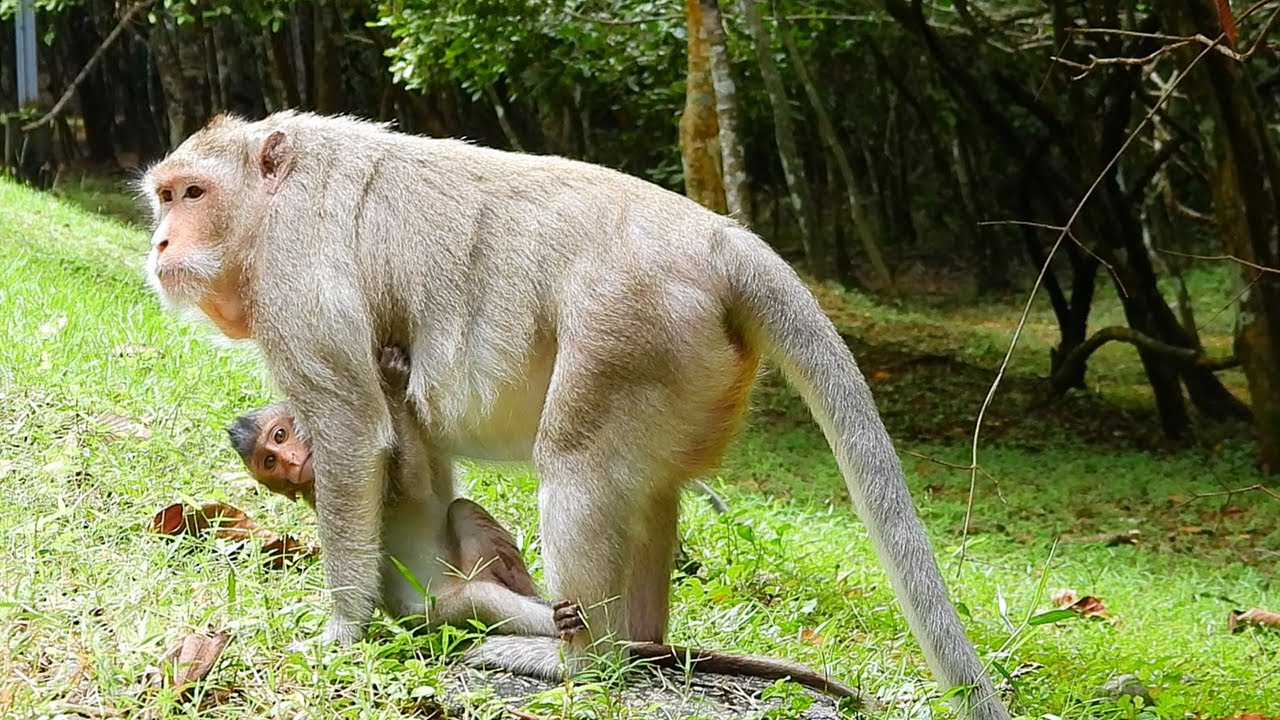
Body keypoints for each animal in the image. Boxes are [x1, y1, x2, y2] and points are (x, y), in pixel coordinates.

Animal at [141, 111, 1009, 719]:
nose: (158, 242)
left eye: (194, 194)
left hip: (632, 328)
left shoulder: (293, 280)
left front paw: (343, 630)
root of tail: (720, 239)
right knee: (647, 487)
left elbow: (355, 432)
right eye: (165, 196)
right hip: (686, 361)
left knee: (577, 462)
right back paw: (638, 646)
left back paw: (575, 660)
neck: (267, 204)